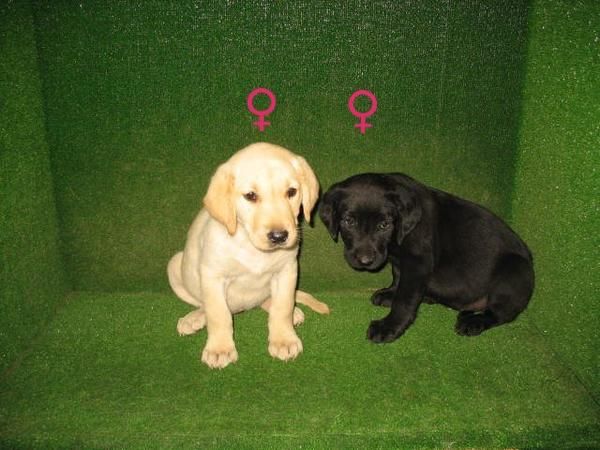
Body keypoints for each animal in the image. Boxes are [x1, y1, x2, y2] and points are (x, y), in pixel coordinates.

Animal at [168, 142, 328, 368]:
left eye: (291, 192)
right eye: (251, 196)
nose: (279, 236)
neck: (251, 246)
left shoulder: (287, 271)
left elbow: (283, 307)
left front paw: (283, 339)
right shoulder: (213, 276)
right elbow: (218, 314)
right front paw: (220, 348)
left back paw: (292, 313)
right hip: (175, 265)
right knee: (203, 305)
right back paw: (194, 318)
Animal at [318, 174, 536, 342]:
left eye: (384, 225)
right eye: (348, 221)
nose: (365, 261)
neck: (395, 240)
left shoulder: (418, 263)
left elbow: (405, 299)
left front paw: (389, 327)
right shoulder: (400, 261)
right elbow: (398, 278)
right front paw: (390, 293)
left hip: (514, 271)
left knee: (498, 314)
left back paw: (474, 322)